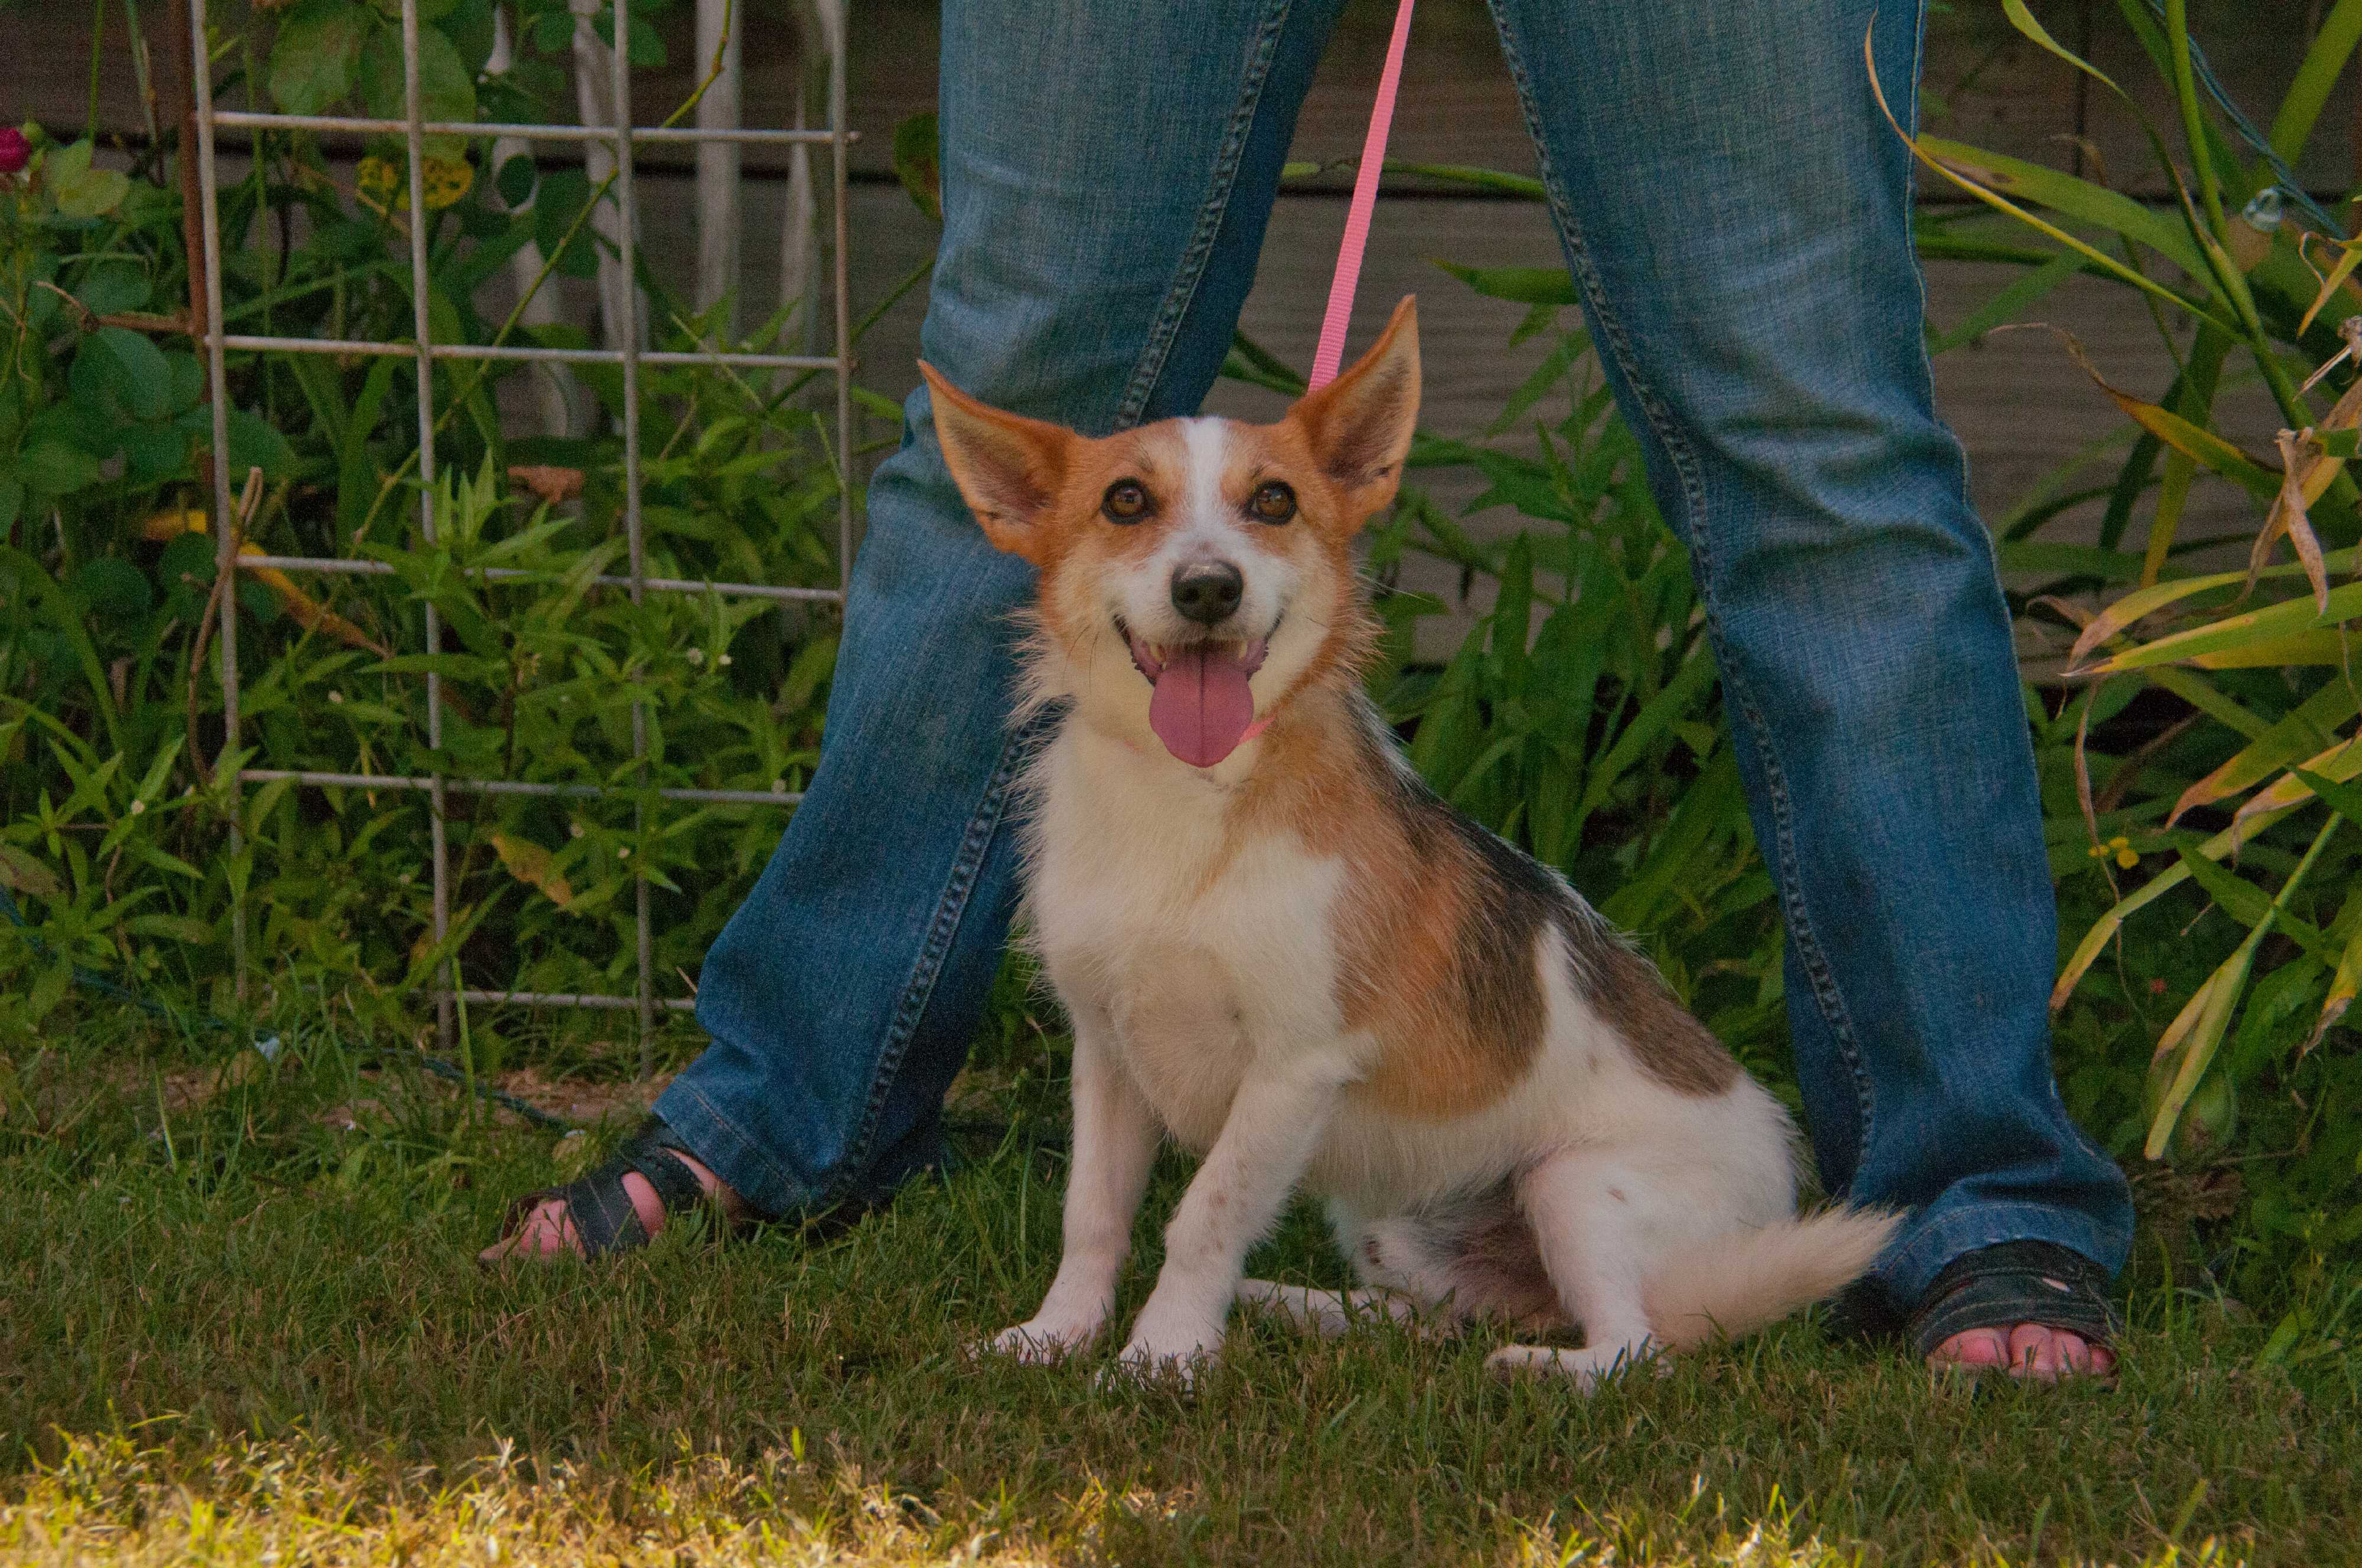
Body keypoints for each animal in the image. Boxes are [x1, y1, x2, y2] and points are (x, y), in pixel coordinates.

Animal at [921, 298, 1899, 1389]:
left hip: (1575, 1189)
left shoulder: (1292, 1069)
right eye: (1126, 501)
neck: (1194, 796)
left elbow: (1203, 1217)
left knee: (1632, 1347)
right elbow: (1092, 1217)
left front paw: (1161, 1358)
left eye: (1274, 501)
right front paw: (1053, 1337)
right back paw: (1293, 1306)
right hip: (1394, 1225)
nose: (1210, 588)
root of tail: (1777, 1184)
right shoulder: (1107, 1053)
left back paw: (1532, 1367)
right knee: (1428, 1320)